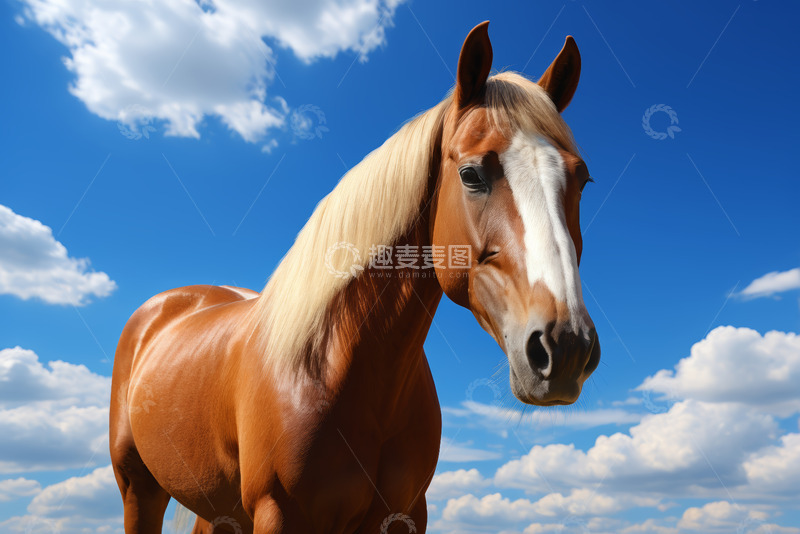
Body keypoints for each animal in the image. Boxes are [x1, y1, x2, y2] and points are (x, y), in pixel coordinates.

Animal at [109, 21, 600, 534]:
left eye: (582, 180)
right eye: (470, 174)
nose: (566, 346)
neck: (332, 361)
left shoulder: (404, 514)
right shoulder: (277, 512)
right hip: (139, 490)